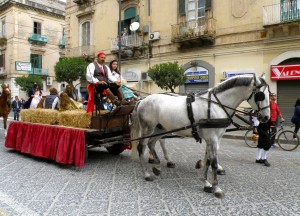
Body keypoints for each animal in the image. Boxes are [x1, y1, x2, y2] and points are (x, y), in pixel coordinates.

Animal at [131, 75, 270, 198]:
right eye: (260, 95)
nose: (266, 117)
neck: (216, 105)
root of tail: (143, 100)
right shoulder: (212, 139)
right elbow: (214, 163)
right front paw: (216, 187)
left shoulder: (213, 139)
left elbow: (208, 160)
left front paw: (205, 182)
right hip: (148, 128)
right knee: (141, 147)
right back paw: (147, 173)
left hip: (160, 128)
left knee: (152, 144)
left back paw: (158, 166)